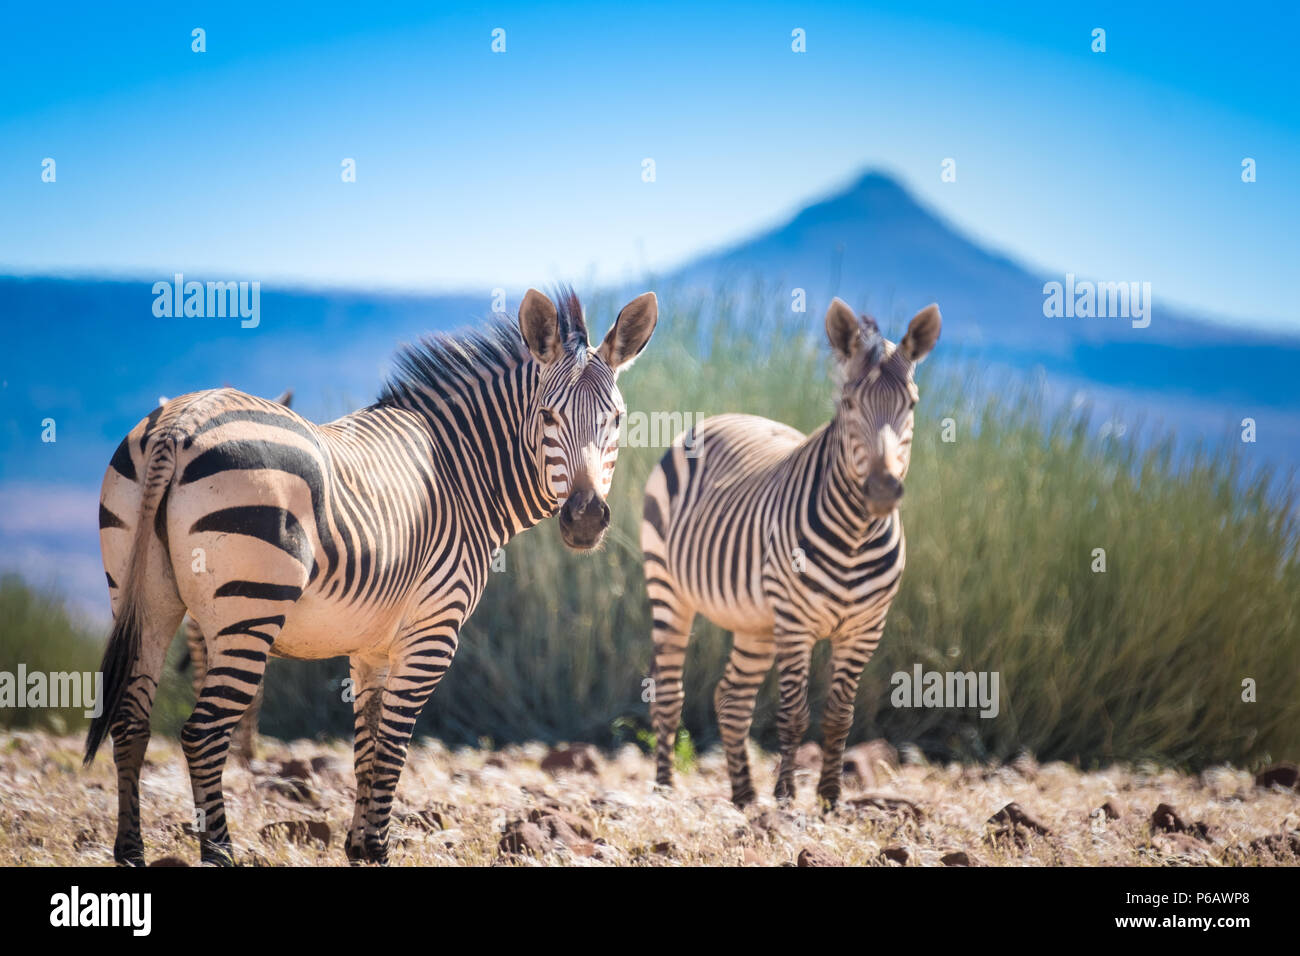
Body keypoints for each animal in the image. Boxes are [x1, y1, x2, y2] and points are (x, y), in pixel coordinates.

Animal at [89, 287, 660, 863]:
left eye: (616, 419)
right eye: (546, 415)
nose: (585, 518)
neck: (462, 473)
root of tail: (180, 421)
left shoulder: (370, 646)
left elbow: (366, 746)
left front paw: (360, 848)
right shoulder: (432, 632)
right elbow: (392, 748)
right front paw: (378, 849)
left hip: (145, 600)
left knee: (131, 722)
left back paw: (130, 851)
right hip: (248, 611)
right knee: (203, 733)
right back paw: (220, 853)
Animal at [642, 297, 941, 806]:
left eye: (913, 404)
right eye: (848, 404)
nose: (883, 489)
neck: (856, 535)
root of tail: (726, 416)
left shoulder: (864, 629)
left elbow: (839, 716)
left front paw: (830, 797)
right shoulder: (796, 622)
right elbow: (795, 713)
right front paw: (785, 795)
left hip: (756, 623)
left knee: (731, 698)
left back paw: (744, 796)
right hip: (669, 590)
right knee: (668, 692)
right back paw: (664, 787)